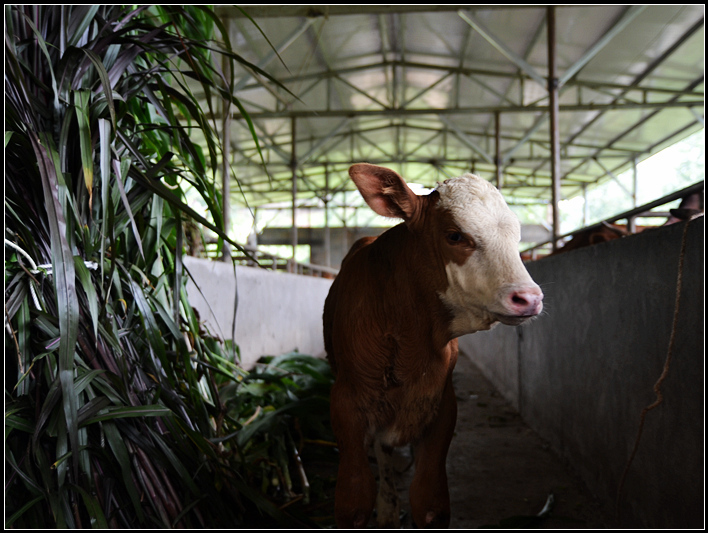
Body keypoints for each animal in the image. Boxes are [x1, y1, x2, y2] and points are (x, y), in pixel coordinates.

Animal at [324, 163, 544, 528]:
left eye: (516, 236)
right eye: (454, 235)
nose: (528, 298)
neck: (410, 339)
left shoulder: (442, 403)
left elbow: (429, 499)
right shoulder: (345, 403)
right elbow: (354, 500)